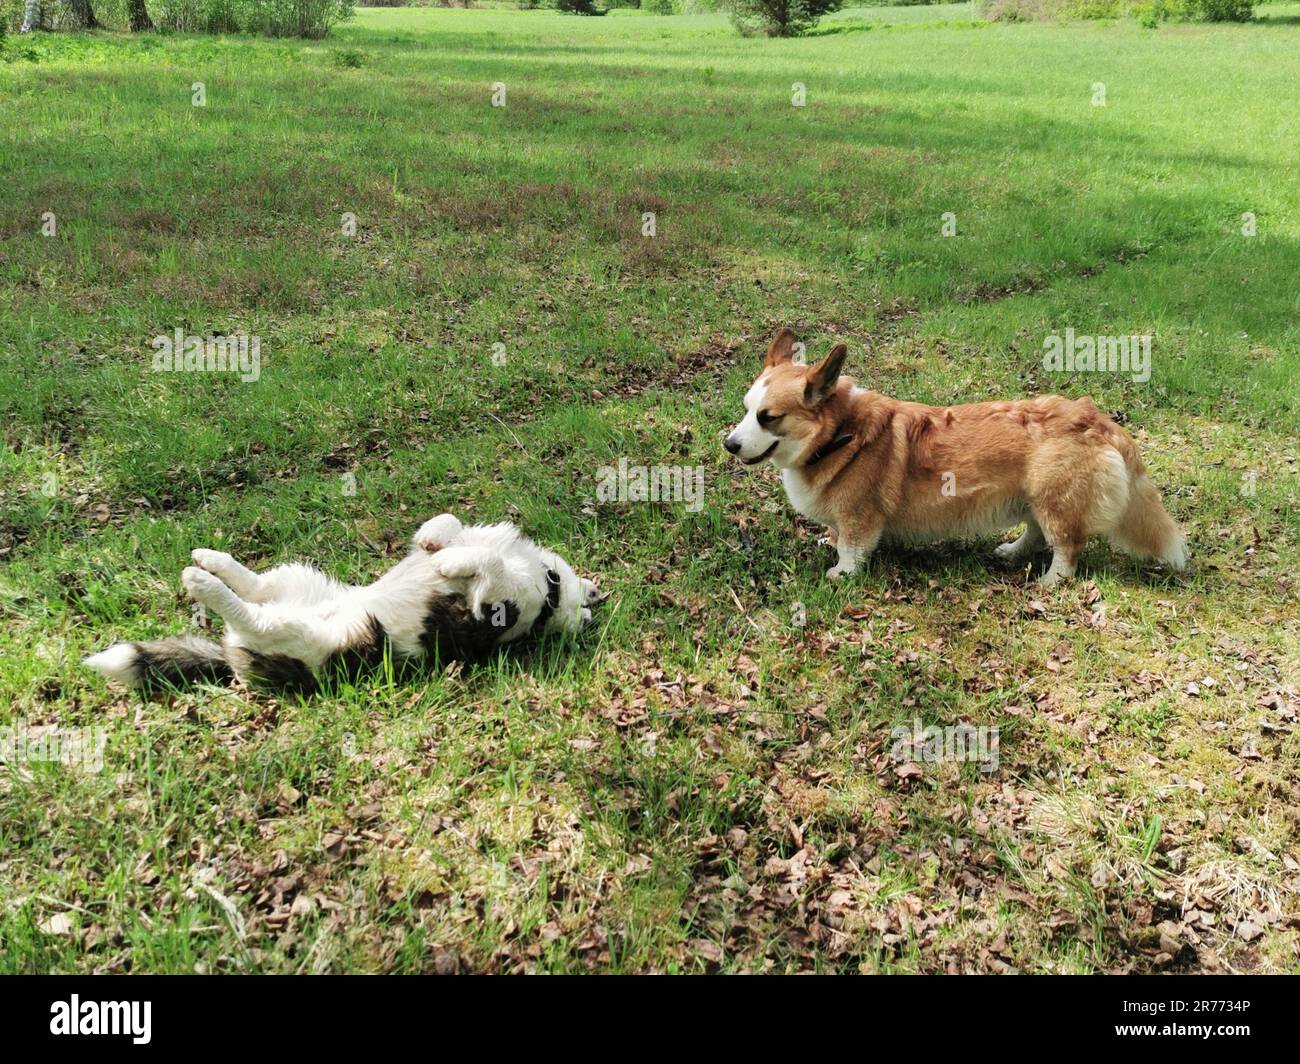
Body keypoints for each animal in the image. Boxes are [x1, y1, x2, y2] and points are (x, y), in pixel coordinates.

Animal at [83, 509, 600, 691]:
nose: (590, 615)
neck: (549, 586)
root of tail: (228, 660)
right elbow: (453, 525)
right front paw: (434, 541)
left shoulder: (492, 606)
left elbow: (485, 563)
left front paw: (450, 564)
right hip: (297, 577)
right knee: (256, 587)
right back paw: (210, 559)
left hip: (297, 638)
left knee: (250, 614)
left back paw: (202, 582)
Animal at [722, 327, 1190, 585]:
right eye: (745, 409)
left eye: (768, 418)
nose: (729, 444)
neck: (839, 433)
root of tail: (1094, 418)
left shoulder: (860, 518)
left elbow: (852, 550)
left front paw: (842, 573)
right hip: (1034, 499)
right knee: (1036, 533)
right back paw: (1011, 552)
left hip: (1054, 501)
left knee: (1066, 546)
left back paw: (1052, 581)